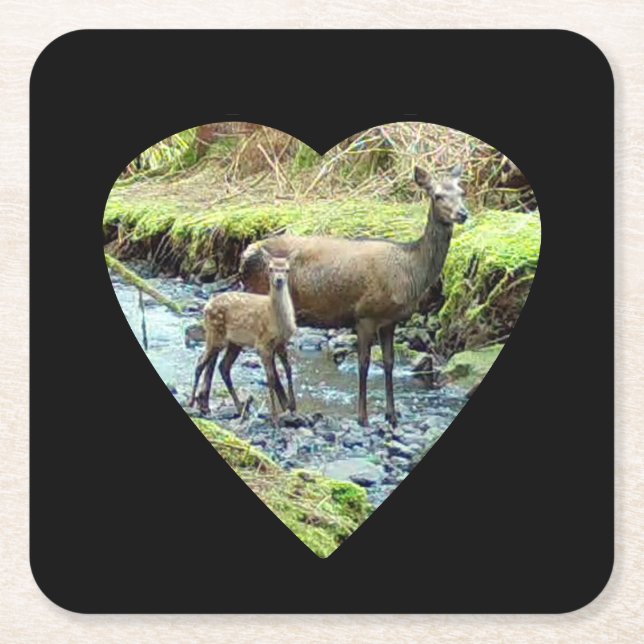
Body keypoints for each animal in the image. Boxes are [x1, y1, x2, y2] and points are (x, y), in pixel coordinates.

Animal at [190, 251, 298, 427]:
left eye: (287, 270)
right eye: (270, 268)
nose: (279, 280)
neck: (276, 319)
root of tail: (205, 307)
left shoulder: (282, 343)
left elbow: (288, 370)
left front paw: (293, 407)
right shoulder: (262, 344)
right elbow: (271, 378)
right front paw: (275, 417)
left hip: (234, 343)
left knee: (223, 366)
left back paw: (239, 409)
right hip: (215, 334)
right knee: (201, 362)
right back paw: (192, 403)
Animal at [240, 165, 469, 428]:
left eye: (462, 192)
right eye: (437, 195)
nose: (463, 213)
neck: (409, 273)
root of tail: (244, 256)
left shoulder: (390, 320)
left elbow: (389, 363)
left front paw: (392, 416)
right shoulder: (365, 315)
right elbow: (364, 364)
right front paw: (363, 417)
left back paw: (288, 404)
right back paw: (287, 405)